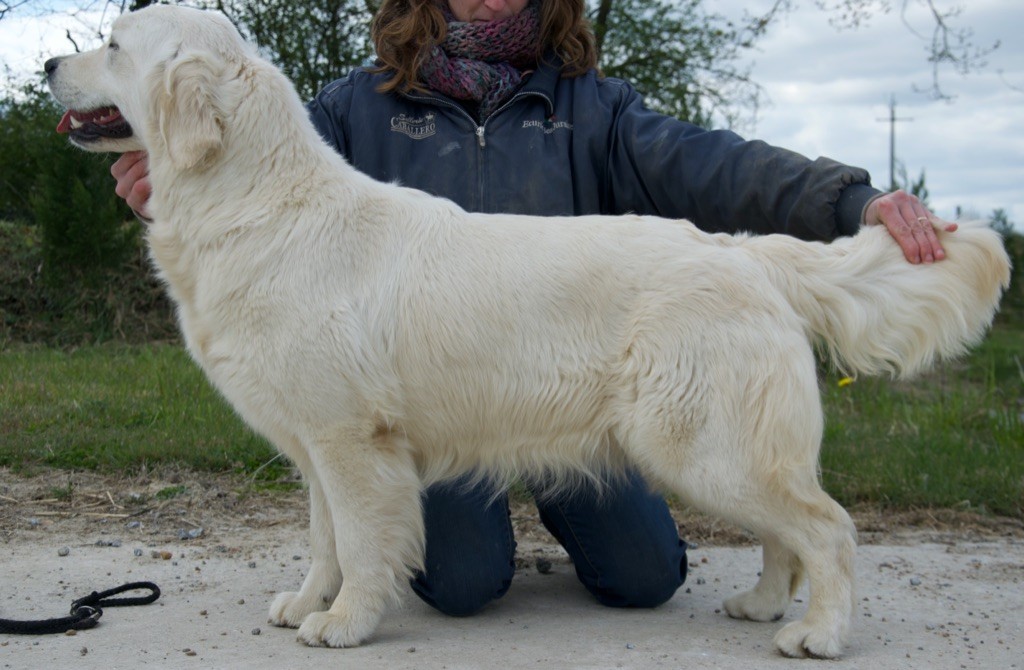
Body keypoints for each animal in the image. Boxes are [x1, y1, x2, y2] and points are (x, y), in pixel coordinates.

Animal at [46, 5, 1007, 659]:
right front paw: (308, 600)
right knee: (788, 535)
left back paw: (820, 633)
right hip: (722, 450)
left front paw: (346, 622)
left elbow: (359, 543)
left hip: (707, 447)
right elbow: (324, 539)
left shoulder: (353, 443)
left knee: (828, 529)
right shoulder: (316, 443)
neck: (255, 200)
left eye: (116, 46)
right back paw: (766, 605)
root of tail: (746, 253)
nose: (50, 60)